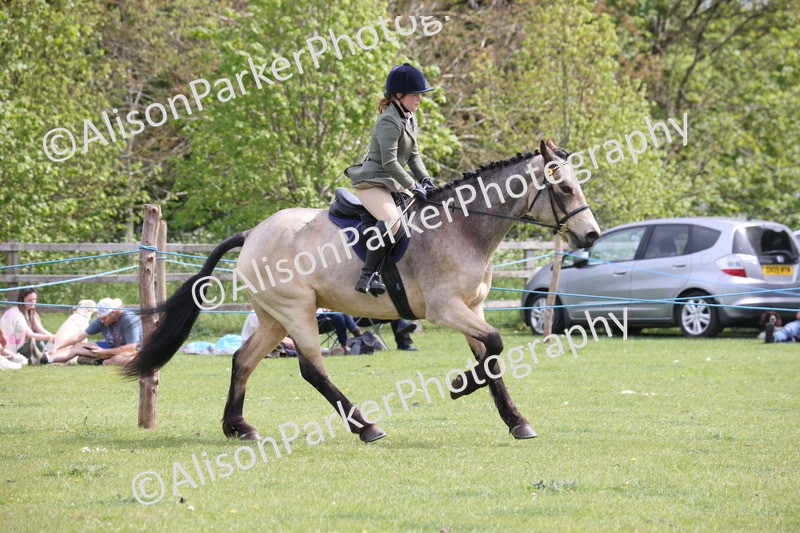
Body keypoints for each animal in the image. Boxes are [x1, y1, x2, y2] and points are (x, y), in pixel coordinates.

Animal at [126, 139, 601, 443]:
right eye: (564, 187)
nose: (591, 235)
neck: (464, 226)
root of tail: (253, 233)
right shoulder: (446, 309)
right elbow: (497, 344)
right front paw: (459, 385)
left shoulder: (473, 308)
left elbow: (492, 359)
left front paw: (515, 421)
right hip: (297, 312)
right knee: (312, 369)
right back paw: (366, 427)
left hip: (273, 317)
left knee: (243, 360)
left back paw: (238, 427)